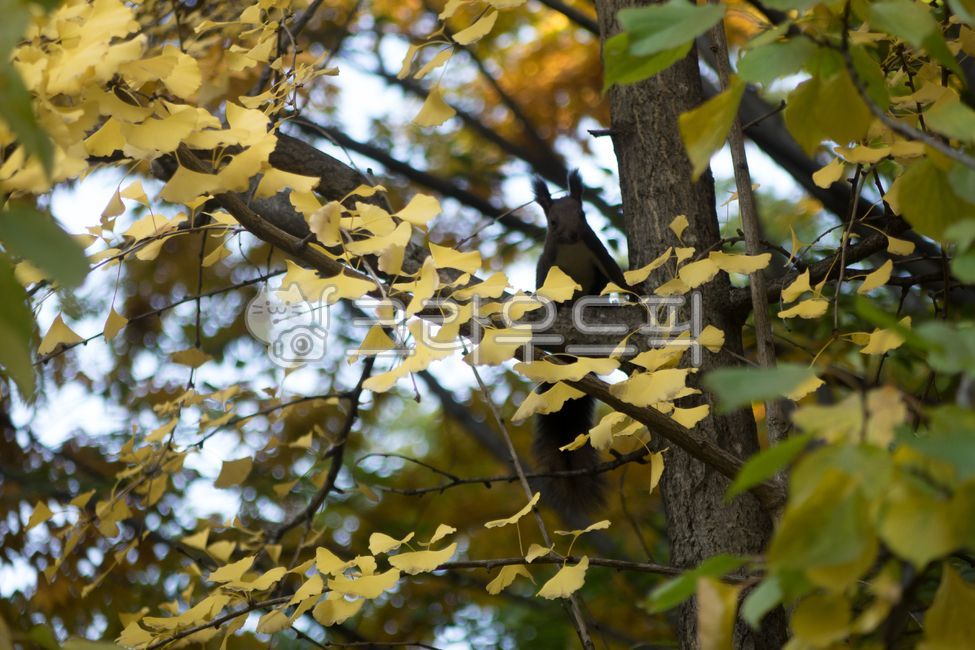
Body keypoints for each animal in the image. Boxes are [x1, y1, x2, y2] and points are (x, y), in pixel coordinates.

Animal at [530, 169, 631, 513]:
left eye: (583, 214)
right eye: (552, 223)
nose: (573, 235)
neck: (572, 249)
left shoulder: (596, 252)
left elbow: (618, 279)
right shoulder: (548, 264)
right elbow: (542, 288)